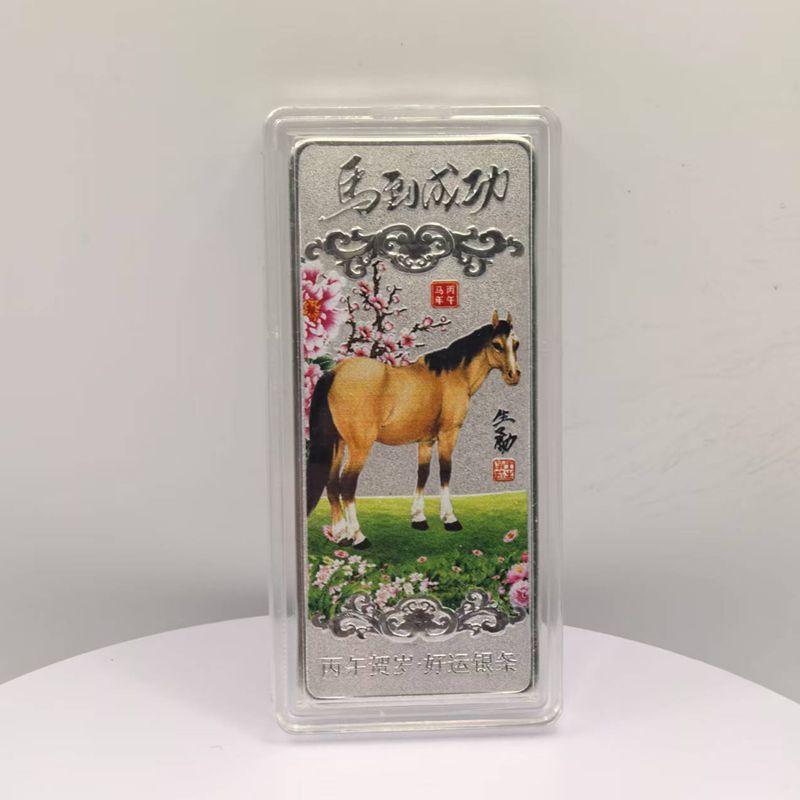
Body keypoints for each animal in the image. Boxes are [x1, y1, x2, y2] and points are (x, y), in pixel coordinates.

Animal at [306, 310, 521, 549]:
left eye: (516, 344)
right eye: (497, 344)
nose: (514, 375)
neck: (452, 375)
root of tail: (335, 372)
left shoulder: (426, 440)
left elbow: (423, 473)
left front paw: (419, 518)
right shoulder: (448, 433)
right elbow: (445, 471)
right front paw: (450, 519)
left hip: (338, 441)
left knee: (332, 482)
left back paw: (341, 534)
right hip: (359, 446)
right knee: (347, 484)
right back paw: (358, 537)